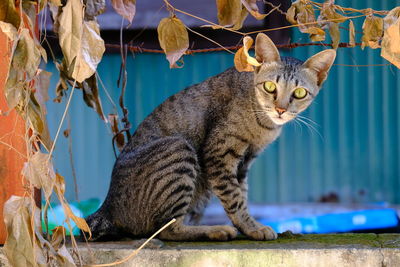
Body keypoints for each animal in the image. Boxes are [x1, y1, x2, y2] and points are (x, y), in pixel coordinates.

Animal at [86, 33, 336, 243]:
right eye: (269, 86)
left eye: (300, 93)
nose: (280, 109)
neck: (263, 123)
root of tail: (106, 206)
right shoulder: (219, 154)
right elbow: (234, 198)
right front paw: (252, 227)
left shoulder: (244, 162)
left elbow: (241, 194)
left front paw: (248, 227)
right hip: (179, 149)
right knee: (165, 229)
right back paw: (215, 230)